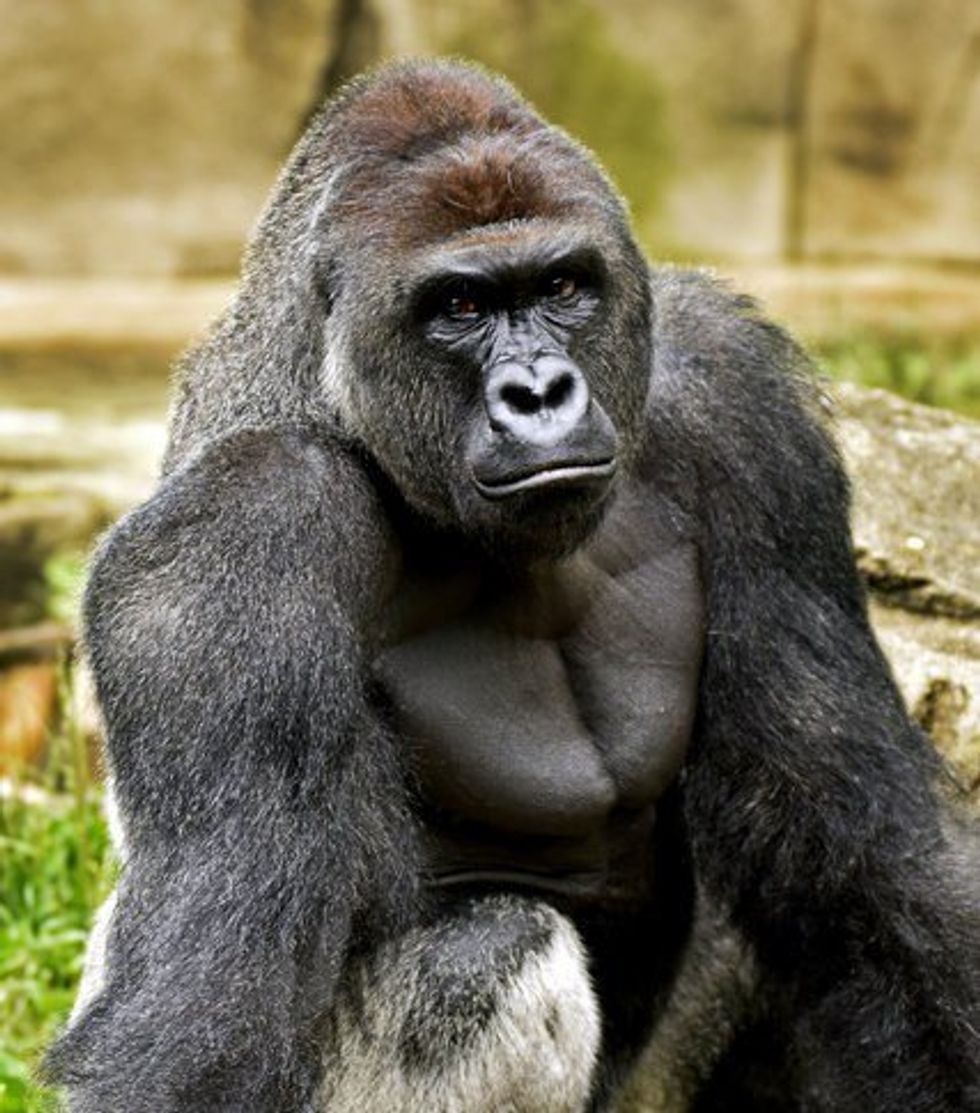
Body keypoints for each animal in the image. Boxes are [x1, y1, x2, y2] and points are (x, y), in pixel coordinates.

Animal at [46, 59, 979, 1112]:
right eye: (458, 307)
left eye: (562, 285)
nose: (539, 392)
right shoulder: (237, 533)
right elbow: (210, 1017)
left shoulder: (738, 403)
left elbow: (870, 862)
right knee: (489, 950)